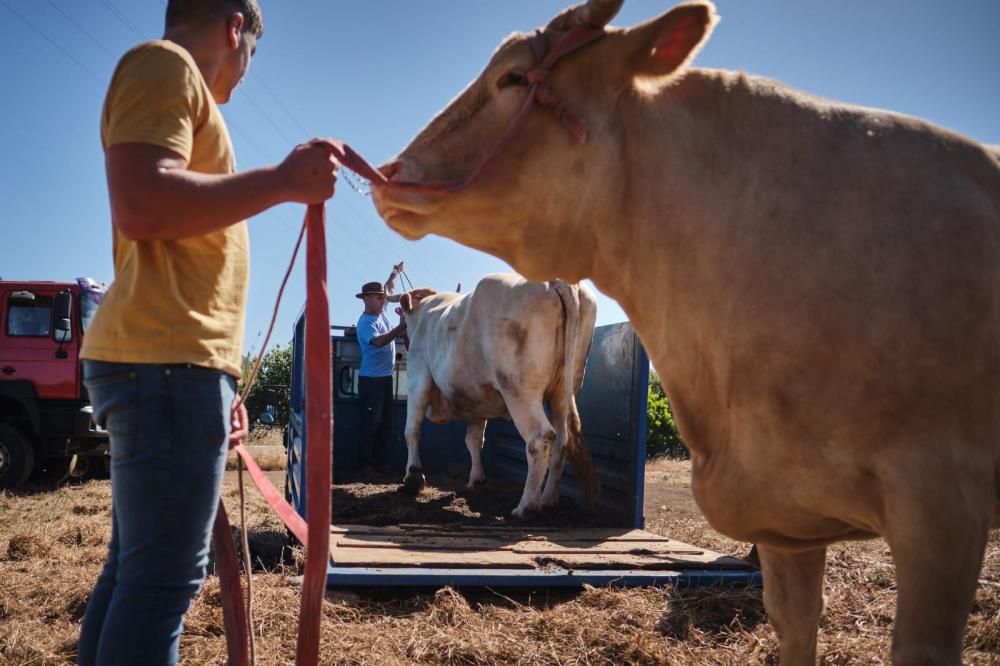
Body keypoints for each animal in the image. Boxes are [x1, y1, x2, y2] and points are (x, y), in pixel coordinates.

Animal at [396, 272, 600, 516]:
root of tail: (556, 280)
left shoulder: (418, 376)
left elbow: (412, 429)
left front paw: (412, 478)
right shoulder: (476, 400)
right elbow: (474, 440)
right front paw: (476, 480)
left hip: (519, 389)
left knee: (540, 438)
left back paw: (526, 507)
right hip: (563, 391)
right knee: (562, 441)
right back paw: (549, 500)